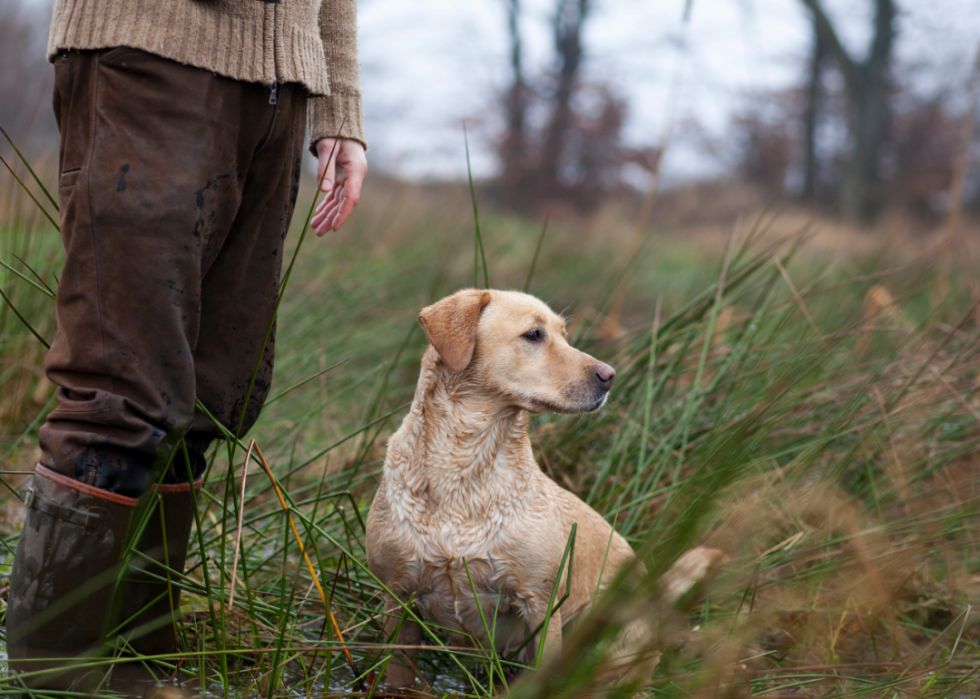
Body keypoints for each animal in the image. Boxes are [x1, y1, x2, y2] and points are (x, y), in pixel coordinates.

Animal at [368, 290, 712, 688]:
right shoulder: (397, 598)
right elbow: (397, 675)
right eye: (534, 334)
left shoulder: (541, 605)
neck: (464, 464)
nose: (610, 375)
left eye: (564, 334)